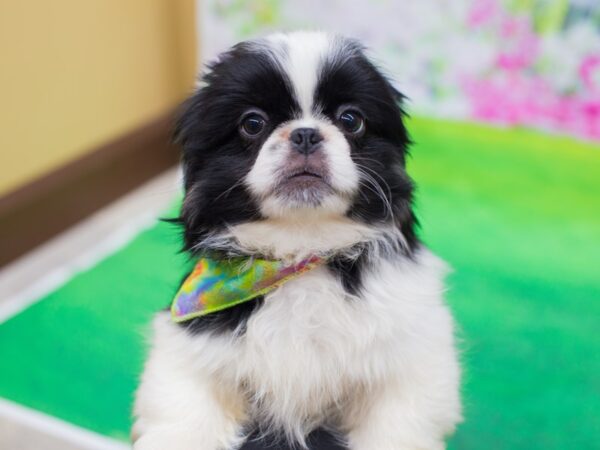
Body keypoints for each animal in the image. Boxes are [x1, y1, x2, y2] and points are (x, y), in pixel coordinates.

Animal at [134, 31, 462, 450]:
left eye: (351, 119)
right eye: (252, 123)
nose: (305, 133)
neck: (301, 254)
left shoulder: (408, 362)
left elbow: (395, 428)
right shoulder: (191, 355)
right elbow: (185, 419)